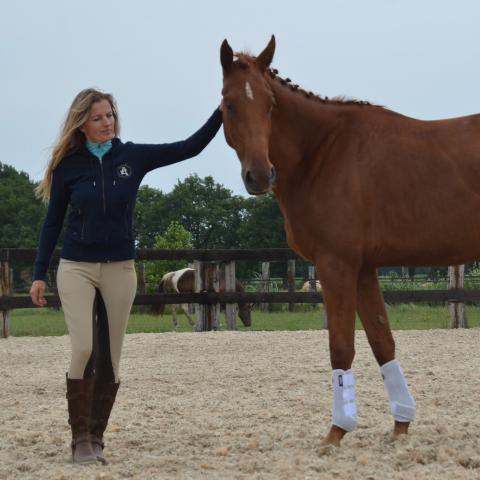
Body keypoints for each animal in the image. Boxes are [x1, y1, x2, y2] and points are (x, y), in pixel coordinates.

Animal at [219, 34, 480, 446]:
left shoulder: (336, 264)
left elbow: (341, 346)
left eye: (270, 103)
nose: (259, 175)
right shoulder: (364, 268)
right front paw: (401, 425)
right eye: (229, 102)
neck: (323, 152)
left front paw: (336, 432)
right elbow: (381, 341)